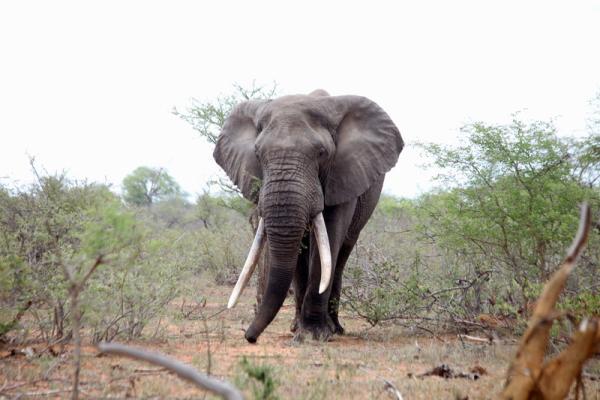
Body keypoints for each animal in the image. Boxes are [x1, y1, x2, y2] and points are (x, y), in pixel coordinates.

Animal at [213, 89, 406, 342]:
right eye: (257, 153)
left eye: (322, 153)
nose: (249, 337)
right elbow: (298, 251)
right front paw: (302, 332)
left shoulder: (343, 175)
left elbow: (330, 236)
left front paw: (314, 335)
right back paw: (299, 326)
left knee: (341, 254)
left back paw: (335, 328)